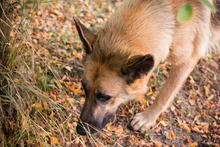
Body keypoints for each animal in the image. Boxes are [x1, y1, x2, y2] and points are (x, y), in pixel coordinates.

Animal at [72, 0, 220, 135]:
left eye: (105, 97)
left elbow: (164, 95)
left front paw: (147, 119)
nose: (80, 130)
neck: (171, 15)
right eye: (84, 88)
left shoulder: (186, 62)